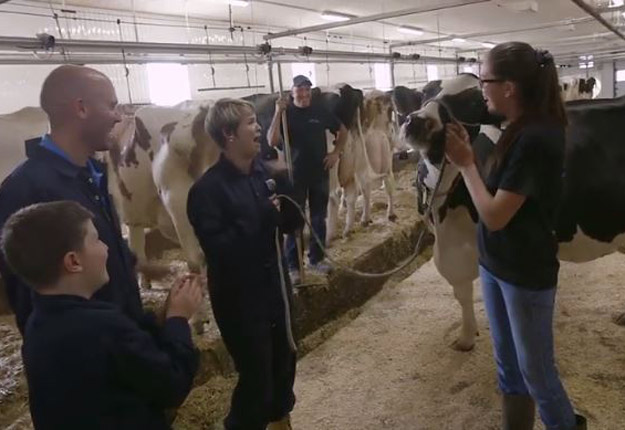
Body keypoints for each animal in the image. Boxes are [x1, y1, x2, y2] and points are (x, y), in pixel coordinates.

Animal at [400, 73, 624, 350]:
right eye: (424, 93)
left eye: (474, 103)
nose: (417, 121)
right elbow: (464, 293)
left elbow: (465, 291)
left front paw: (465, 338)